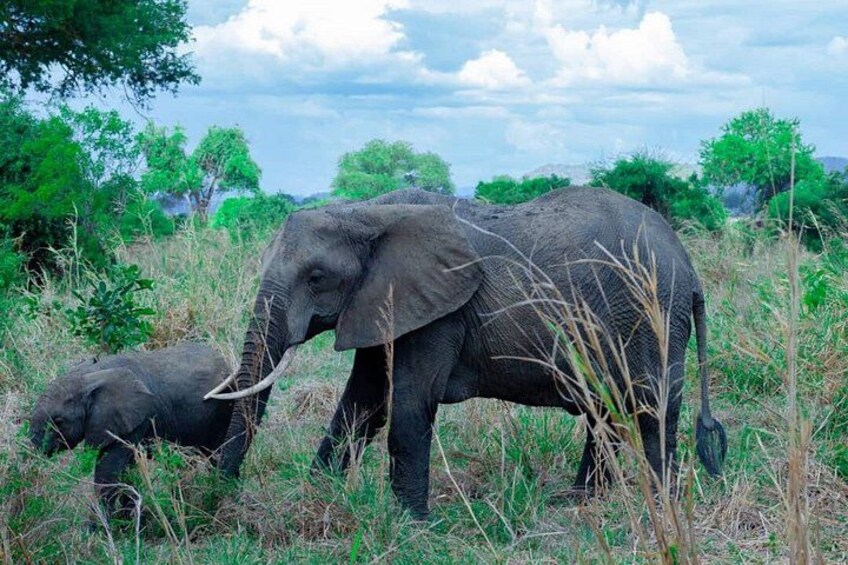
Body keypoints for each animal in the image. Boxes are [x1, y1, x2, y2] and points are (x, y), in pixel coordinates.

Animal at [29, 342, 232, 517]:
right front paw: (128, 519)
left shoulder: (136, 419)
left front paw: (99, 530)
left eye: (58, 421)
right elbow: (126, 469)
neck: (90, 375)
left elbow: (108, 469)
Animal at [208, 187, 727, 518]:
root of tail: (691, 269)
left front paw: (411, 525)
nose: (219, 486)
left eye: (316, 278)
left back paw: (656, 505)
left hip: (651, 316)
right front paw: (321, 494)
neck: (366, 212)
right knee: (607, 410)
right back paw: (578, 501)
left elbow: (408, 406)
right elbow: (362, 404)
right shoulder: (382, 302)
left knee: (647, 408)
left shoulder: (438, 311)